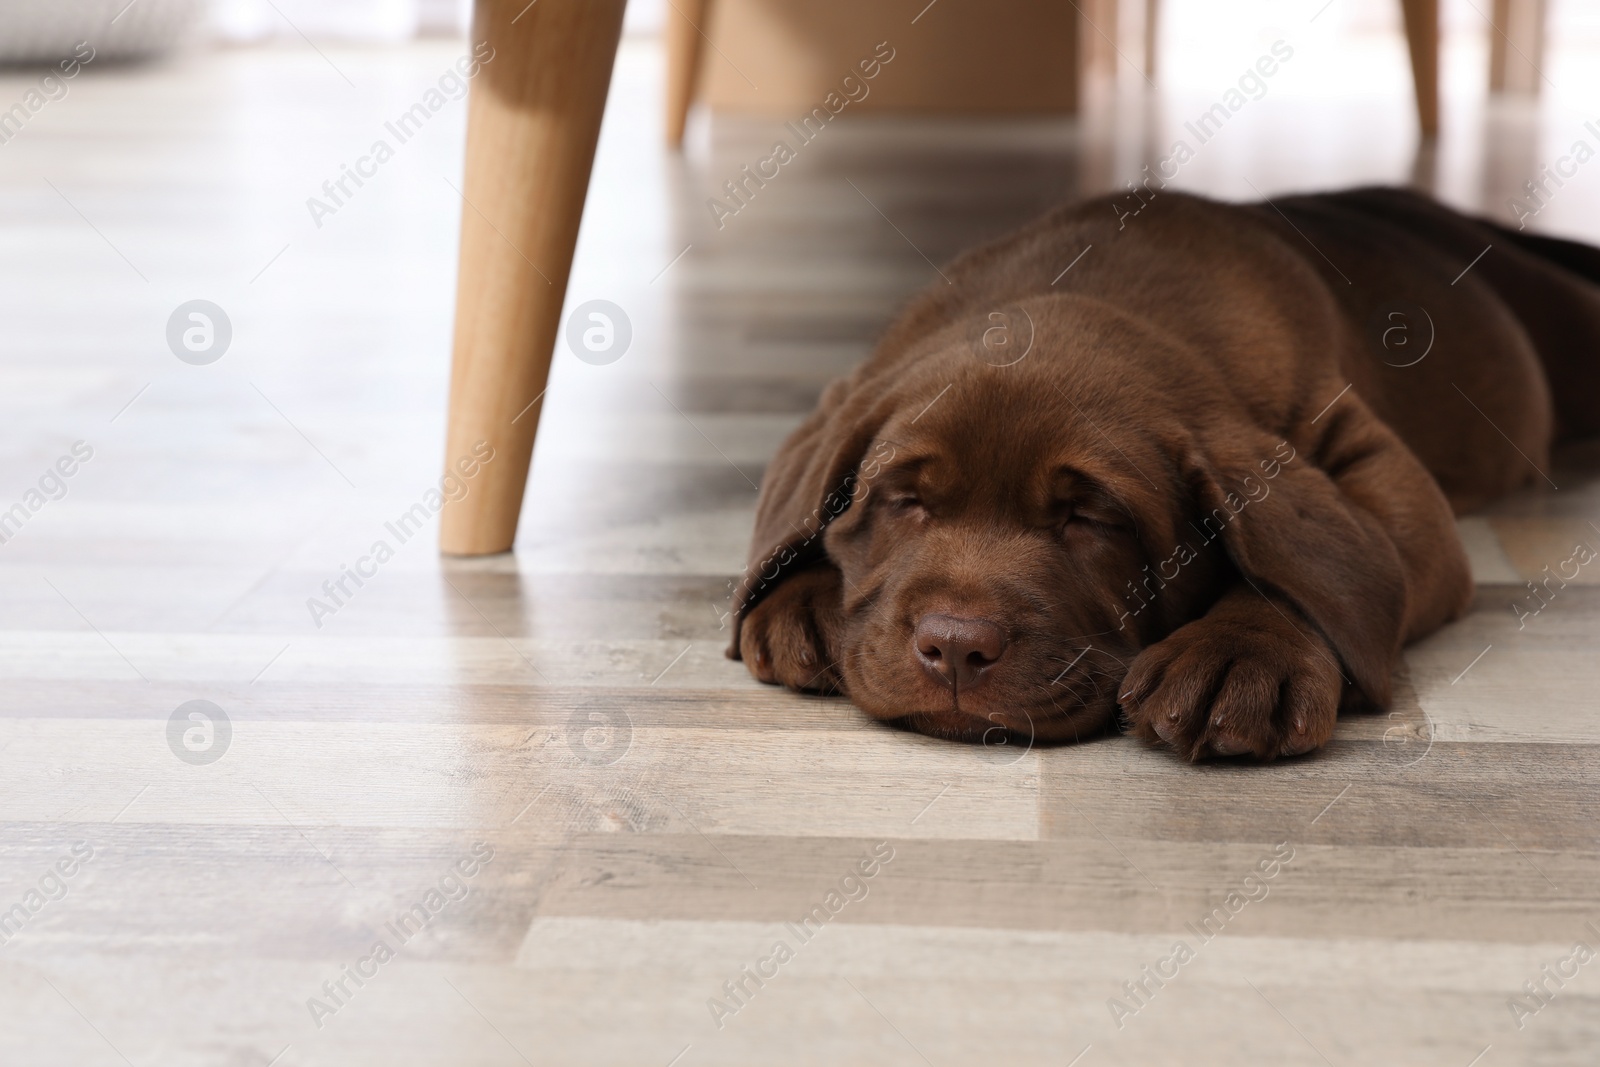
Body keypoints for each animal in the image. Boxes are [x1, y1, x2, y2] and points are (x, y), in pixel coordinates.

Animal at [729, 189, 1600, 758]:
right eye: (902, 499)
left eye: (1092, 519)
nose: (955, 647)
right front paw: (805, 595)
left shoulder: (1384, 473)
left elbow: (1320, 574)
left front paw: (1244, 653)